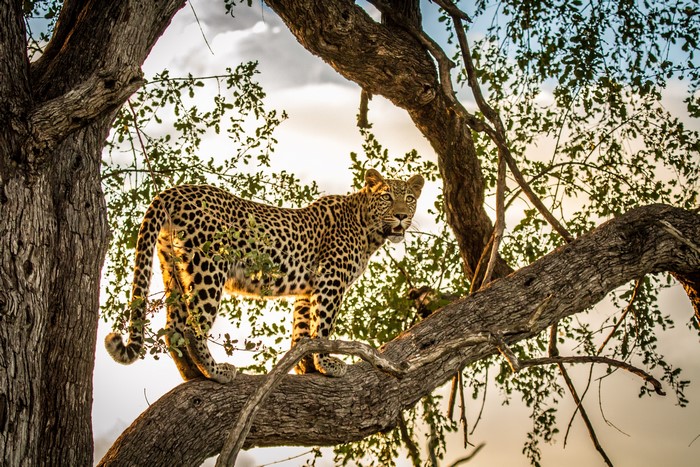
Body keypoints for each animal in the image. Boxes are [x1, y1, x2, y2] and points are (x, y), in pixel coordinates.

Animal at [105, 169, 424, 383]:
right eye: (387, 197)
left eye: (409, 199)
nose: (401, 216)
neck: (368, 229)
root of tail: (173, 191)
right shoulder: (330, 281)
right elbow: (322, 327)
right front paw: (327, 364)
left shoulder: (308, 290)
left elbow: (302, 330)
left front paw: (307, 366)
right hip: (208, 267)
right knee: (192, 328)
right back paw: (216, 372)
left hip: (173, 269)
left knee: (173, 328)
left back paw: (192, 374)